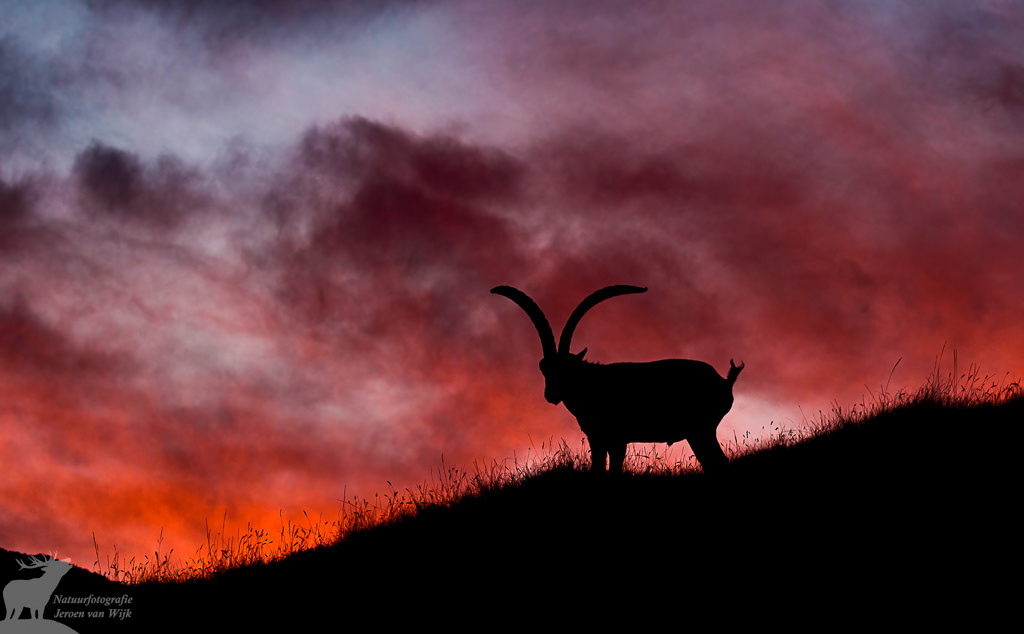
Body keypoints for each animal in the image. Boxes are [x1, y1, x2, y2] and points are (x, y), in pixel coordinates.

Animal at [491, 285, 743, 474]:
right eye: (543, 368)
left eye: (568, 369)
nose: (551, 395)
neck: (592, 384)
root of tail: (724, 381)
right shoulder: (598, 438)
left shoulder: (617, 438)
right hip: (699, 432)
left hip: (700, 429)